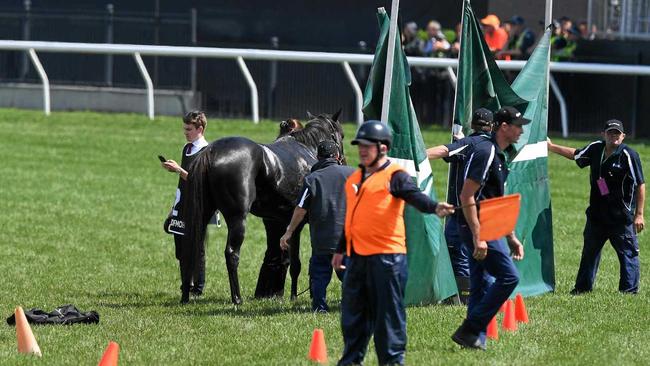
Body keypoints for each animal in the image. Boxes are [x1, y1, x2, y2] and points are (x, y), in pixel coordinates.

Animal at [180, 111, 344, 304]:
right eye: (341, 135)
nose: (342, 160)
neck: (306, 150)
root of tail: (211, 152)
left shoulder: (284, 222)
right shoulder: (300, 224)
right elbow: (298, 263)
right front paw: (296, 296)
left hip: (203, 215)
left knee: (191, 247)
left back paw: (185, 296)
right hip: (237, 218)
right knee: (231, 254)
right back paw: (237, 298)